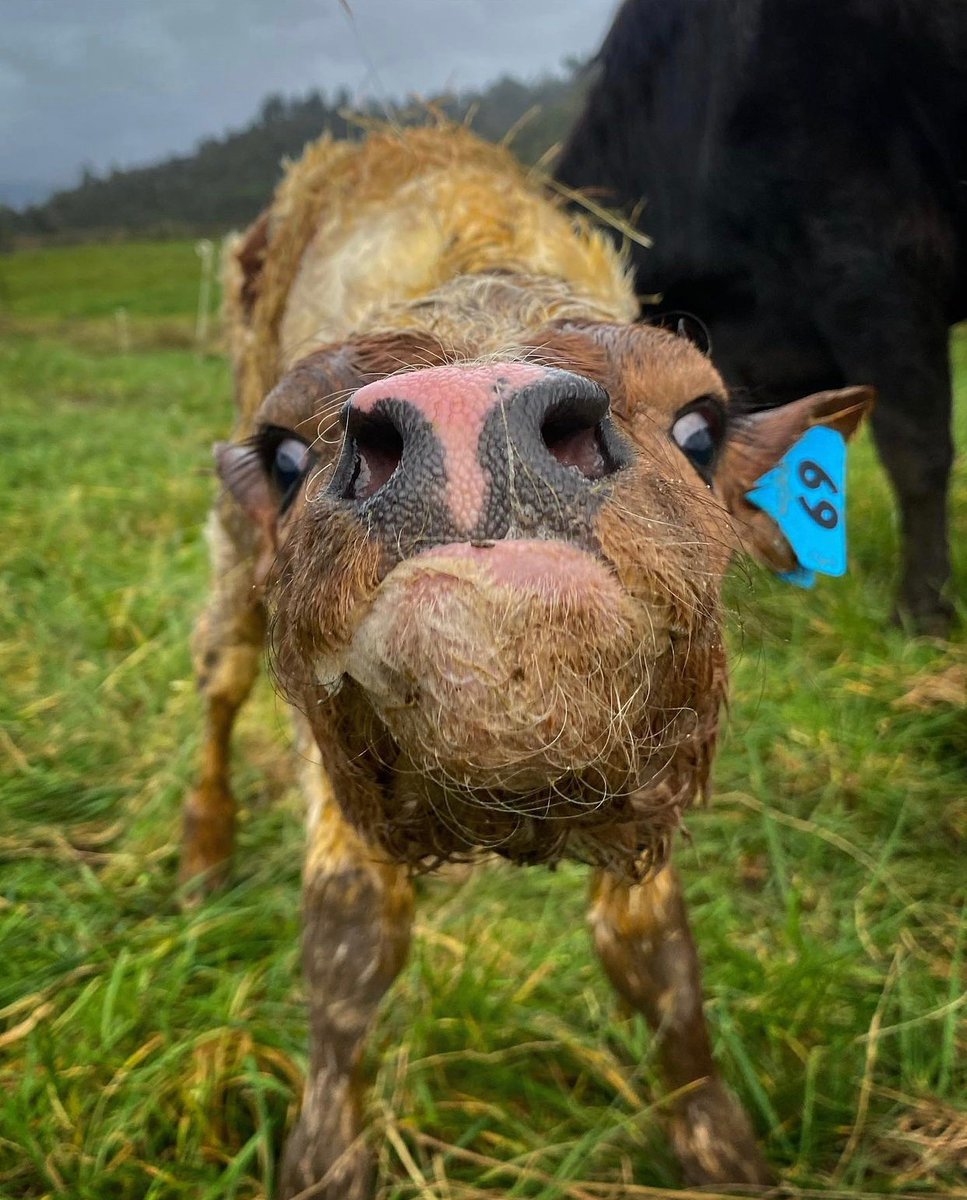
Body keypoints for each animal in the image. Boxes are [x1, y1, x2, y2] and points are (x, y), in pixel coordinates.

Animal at [180, 124, 872, 1196]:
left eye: (700, 426)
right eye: (286, 454)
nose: (473, 423)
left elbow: (656, 956)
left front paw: (718, 1148)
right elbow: (349, 938)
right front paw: (326, 1157)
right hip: (233, 571)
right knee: (219, 682)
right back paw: (203, 854)